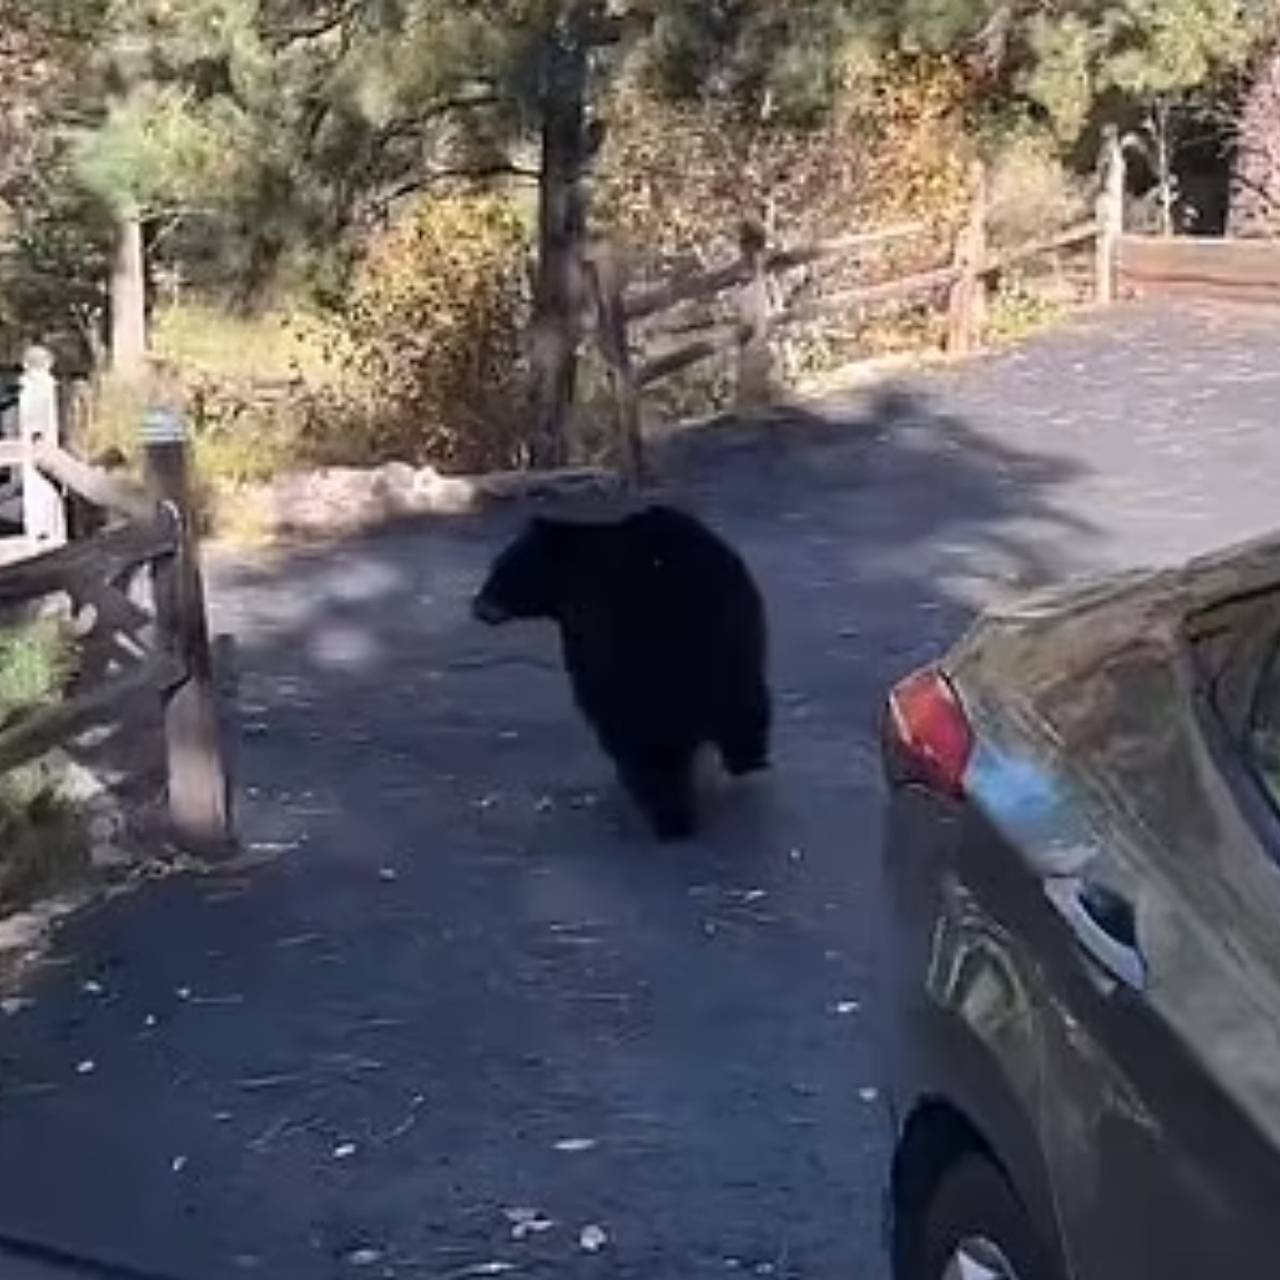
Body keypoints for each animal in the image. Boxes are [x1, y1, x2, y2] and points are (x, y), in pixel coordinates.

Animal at [471, 499, 768, 839]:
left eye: (501, 568)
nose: (477, 606)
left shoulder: (590, 637)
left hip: (647, 673)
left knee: (650, 750)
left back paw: (669, 816)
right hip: (737, 654)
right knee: (745, 717)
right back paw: (745, 764)